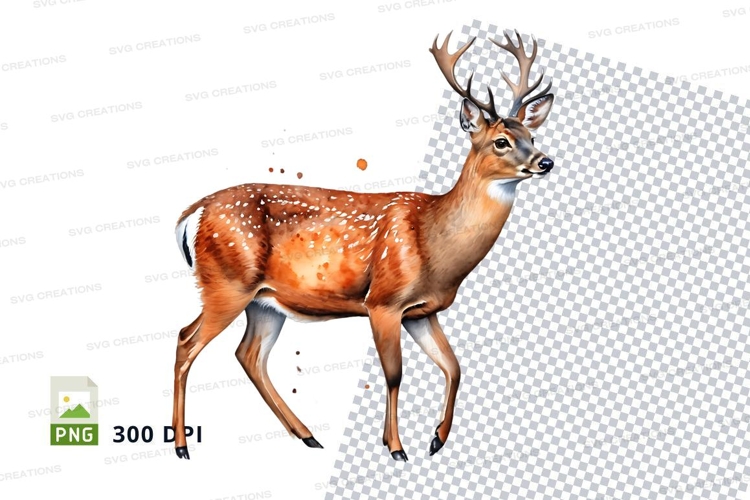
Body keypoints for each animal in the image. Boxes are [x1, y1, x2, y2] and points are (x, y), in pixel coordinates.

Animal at [170, 29, 555, 462]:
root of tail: (192, 213)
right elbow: (394, 374)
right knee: (186, 341)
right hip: (226, 283)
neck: (434, 244)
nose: (545, 162)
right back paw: (182, 445)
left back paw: (307, 435)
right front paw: (396, 447)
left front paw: (437, 439)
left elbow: (454, 366)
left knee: (248, 354)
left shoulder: (422, 312)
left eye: (532, 136)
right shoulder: (383, 301)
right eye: (501, 142)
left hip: (264, 301)